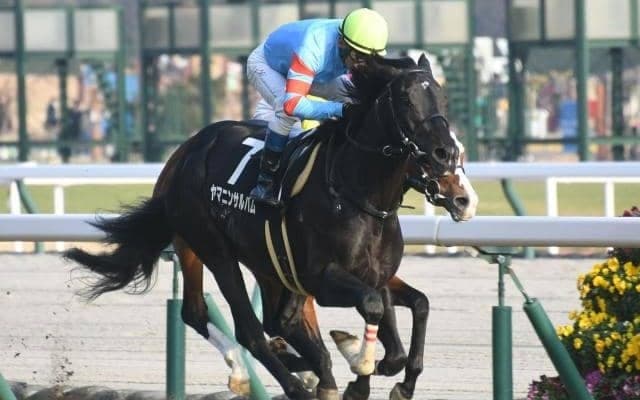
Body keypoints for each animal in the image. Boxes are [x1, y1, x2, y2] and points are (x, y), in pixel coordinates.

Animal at [64, 53, 478, 400]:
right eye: (406, 100)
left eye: (442, 99)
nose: (463, 196)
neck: (358, 195)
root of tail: (185, 153)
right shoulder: (319, 279)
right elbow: (374, 308)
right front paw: (356, 374)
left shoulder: (374, 273)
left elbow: (408, 317)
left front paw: (389, 376)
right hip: (212, 249)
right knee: (245, 329)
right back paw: (287, 380)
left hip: (264, 263)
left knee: (261, 320)